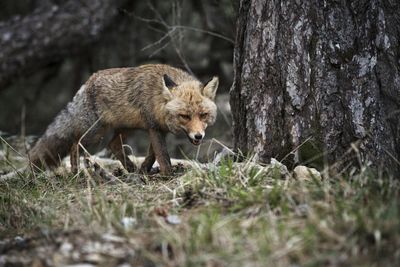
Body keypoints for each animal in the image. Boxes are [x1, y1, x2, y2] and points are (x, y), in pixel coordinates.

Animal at [28, 64, 219, 177]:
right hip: (95, 133)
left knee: (112, 145)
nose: (198, 136)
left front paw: (144, 170)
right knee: (75, 144)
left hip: (127, 128)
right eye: (185, 116)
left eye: (203, 115)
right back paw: (75, 172)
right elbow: (163, 156)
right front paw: (167, 176)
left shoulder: (158, 129)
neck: (158, 99)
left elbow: (152, 155)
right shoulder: (154, 127)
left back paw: (131, 169)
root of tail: (87, 82)